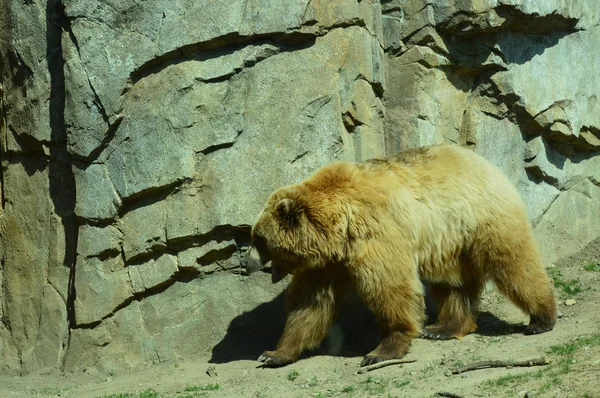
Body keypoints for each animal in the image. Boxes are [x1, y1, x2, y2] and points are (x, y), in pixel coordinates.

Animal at [243, 144, 556, 366]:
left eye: (258, 238)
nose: (246, 263)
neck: (338, 228)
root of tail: (485, 162)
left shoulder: (377, 233)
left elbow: (390, 286)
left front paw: (381, 350)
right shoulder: (327, 263)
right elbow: (310, 304)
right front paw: (273, 353)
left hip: (482, 218)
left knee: (513, 263)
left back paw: (541, 319)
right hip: (449, 241)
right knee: (452, 284)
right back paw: (444, 327)